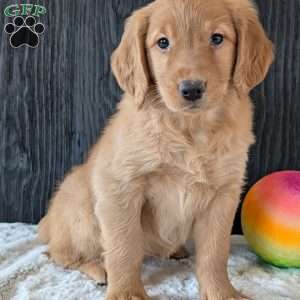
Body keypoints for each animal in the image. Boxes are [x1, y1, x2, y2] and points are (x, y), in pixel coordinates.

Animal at [39, 0, 274, 298]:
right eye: (163, 42)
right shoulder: (120, 186)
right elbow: (124, 245)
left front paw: (221, 292)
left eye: (217, 38)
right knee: (59, 253)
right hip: (81, 210)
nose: (191, 89)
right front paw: (126, 292)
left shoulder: (224, 193)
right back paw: (98, 269)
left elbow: (215, 251)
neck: (190, 129)